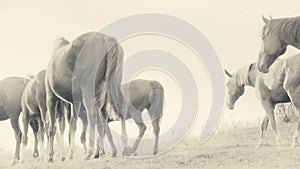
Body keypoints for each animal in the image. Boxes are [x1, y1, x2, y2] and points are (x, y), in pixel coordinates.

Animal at [45, 32, 126, 162]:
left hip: (88, 89)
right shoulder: (75, 101)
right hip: (112, 85)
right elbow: (72, 125)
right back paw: (124, 146)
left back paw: (89, 153)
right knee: (120, 108)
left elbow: (52, 128)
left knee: (92, 115)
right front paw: (70, 155)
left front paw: (50, 156)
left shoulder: (51, 97)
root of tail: (106, 39)